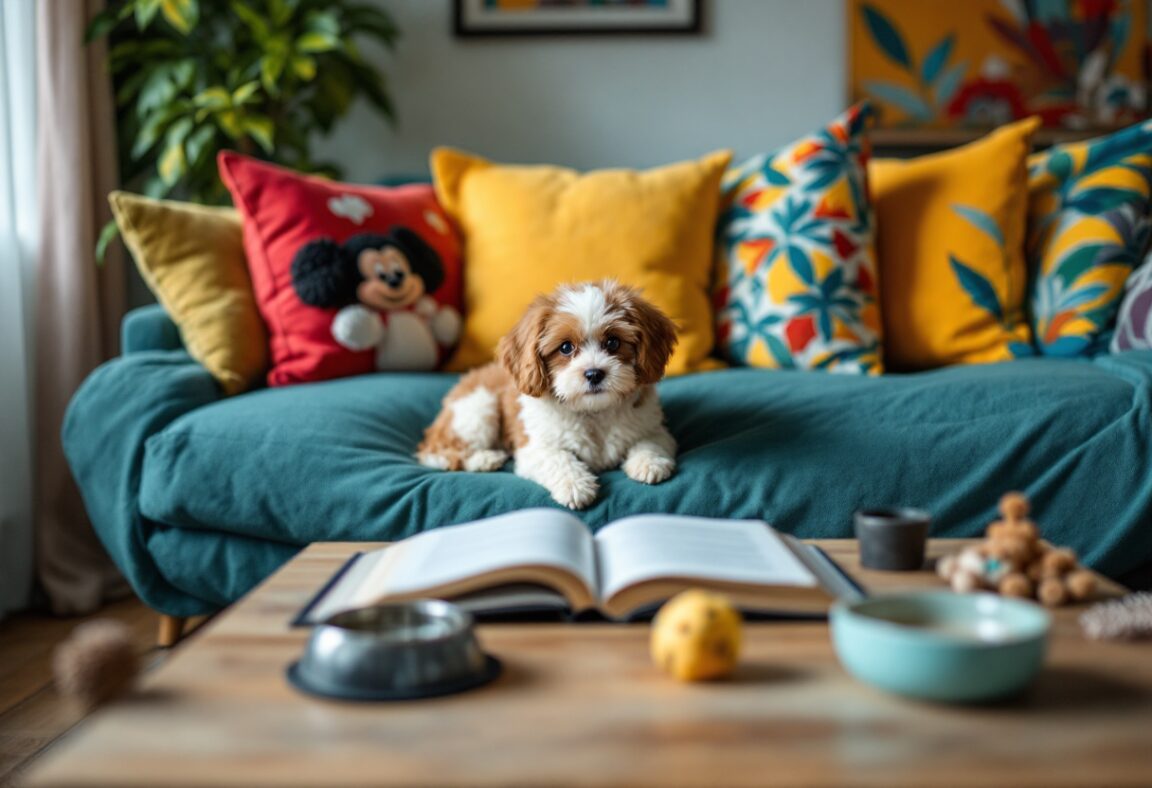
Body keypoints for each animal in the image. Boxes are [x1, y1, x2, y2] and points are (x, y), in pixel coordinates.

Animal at [419, 279, 677, 506]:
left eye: (613, 342)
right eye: (566, 347)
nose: (594, 373)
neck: (592, 412)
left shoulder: (654, 428)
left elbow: (650, 442)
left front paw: (649, 464)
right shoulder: (534, 448)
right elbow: (558, 458)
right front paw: (575, 485)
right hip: (478, 409)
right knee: (439, 453)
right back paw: (485, 459)